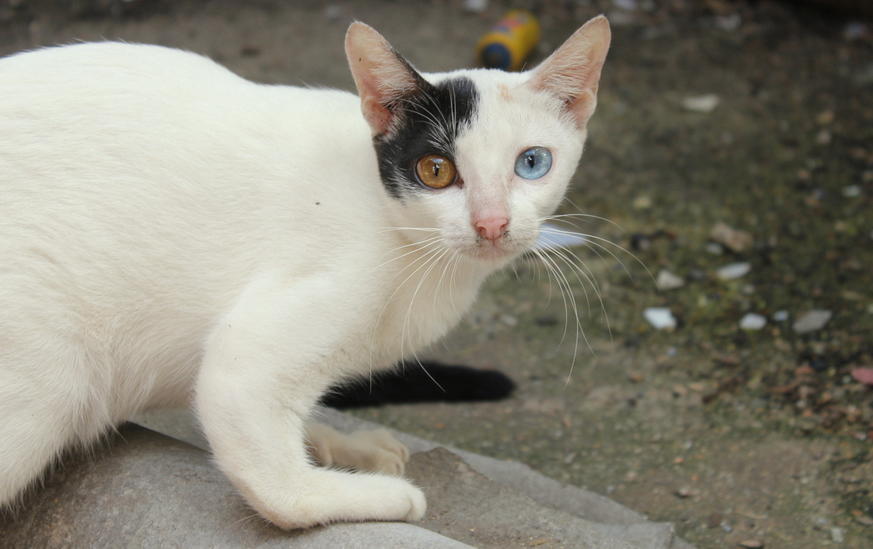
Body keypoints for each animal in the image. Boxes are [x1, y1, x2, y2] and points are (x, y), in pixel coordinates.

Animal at [0, 17, 610, 528]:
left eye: (532, 163)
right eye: (435, 171)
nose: (491, 223)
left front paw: (335, 441)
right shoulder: (254, 351)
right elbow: (273, 480)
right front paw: (362, 494)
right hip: (50, 379)